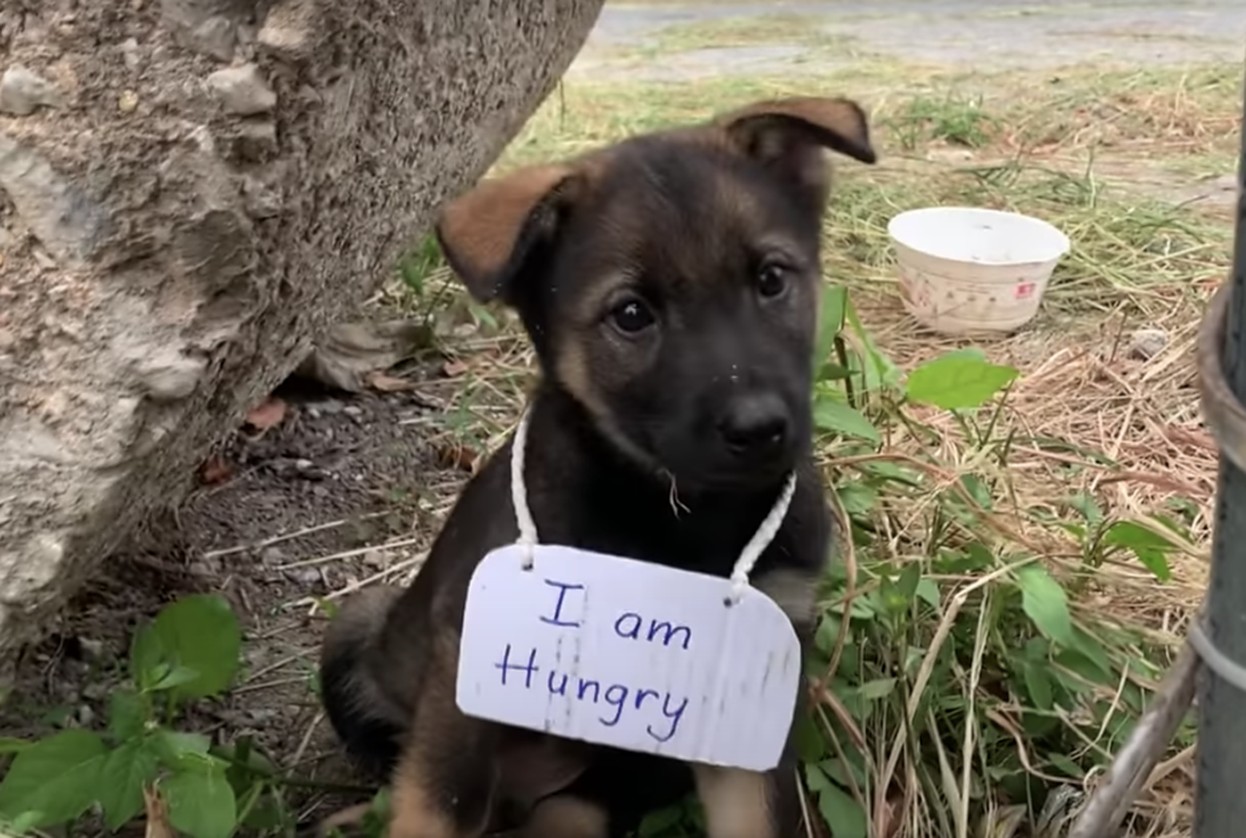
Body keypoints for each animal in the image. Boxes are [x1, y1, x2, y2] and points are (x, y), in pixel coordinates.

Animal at [321, 94, 877, 831]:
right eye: (632, 314)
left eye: (770, 279)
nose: (760, 429)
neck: (681, 518)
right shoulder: (467, 673)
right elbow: (435, 811)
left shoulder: (752, 686)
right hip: (359, 627)